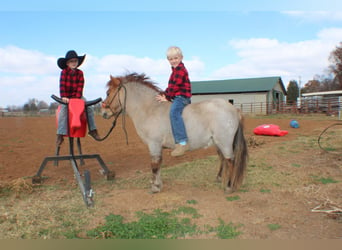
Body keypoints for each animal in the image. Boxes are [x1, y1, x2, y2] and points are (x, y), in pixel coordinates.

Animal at [101, 72, 248, 193]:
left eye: (108, 93)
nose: (103, 112)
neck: (151, 109)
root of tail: (234, 109)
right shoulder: (157, 146)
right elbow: (159, 164)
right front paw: (159, 184)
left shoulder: (154, 144)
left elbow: (154, 165)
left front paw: (155, 187)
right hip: (218, 143)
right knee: (223, 159)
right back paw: (219, 178)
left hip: (224, 142)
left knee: (230, 161)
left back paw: (228, 186)